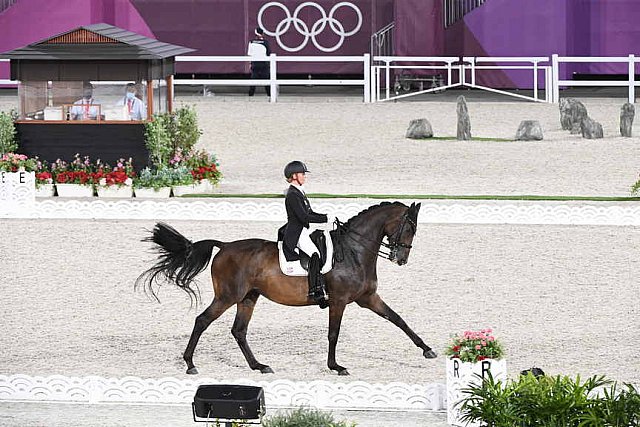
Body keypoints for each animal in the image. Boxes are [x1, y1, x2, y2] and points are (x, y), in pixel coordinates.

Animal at [137, 201, 438, 374]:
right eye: (409, 227)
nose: (401, 259)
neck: (354, 250)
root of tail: (224, 246)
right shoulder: (339, 301)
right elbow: (333, 334)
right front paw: (335, 366)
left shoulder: (368, 298)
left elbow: (398, 320)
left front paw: (427, 350)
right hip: (228, 296)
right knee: (202, 320)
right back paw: (190, 364)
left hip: (248, 298)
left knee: (239, 331)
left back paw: (259, 366)